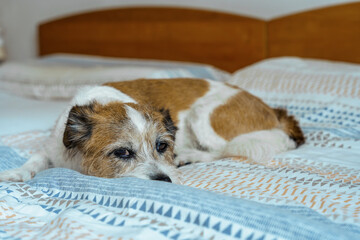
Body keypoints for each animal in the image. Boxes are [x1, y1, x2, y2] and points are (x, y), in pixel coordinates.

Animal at [0, 78, 304, 183]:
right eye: (123, 153)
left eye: (162, 146)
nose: (164, 180)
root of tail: (274, 112)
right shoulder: (54, 149)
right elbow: (36, 159)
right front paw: (17, 172)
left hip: (204, 114)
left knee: (222, 150)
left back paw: (190, 155)